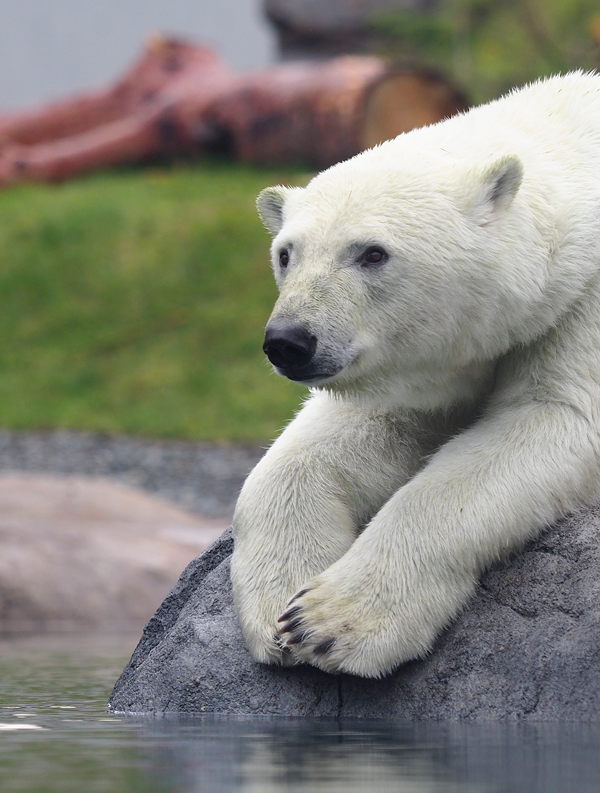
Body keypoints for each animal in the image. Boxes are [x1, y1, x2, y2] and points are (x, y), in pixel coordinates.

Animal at [231, 74, 600, 676]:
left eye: (372, 253)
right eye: (286, 253)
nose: (290, 341)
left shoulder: (583, 300)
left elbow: (555, 417)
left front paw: (330, 623)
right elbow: (350, 435)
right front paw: (280, 605)